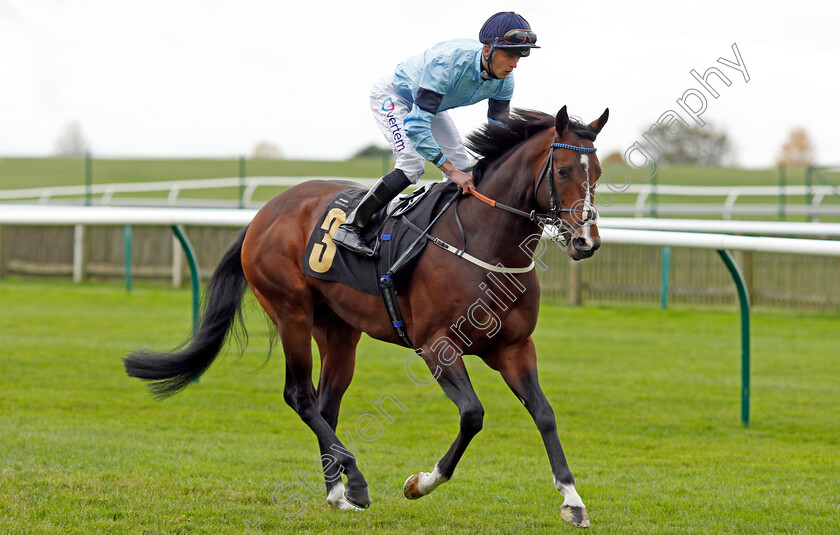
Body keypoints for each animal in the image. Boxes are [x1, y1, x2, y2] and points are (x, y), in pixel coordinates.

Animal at [124, 107, 608, 528]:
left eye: (599, 173)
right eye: (563, 171)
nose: (586, 241)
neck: (485, 243)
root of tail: (265, 212)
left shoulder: (513, 347)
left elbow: (544, 413)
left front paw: (573, 501)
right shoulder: (436, 345)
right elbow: (472, 414)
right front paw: (420, 483)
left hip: (338, 331)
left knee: (325, 404)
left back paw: (337, 493)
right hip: (290, 312)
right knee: (299, 396)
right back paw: (354, 480)